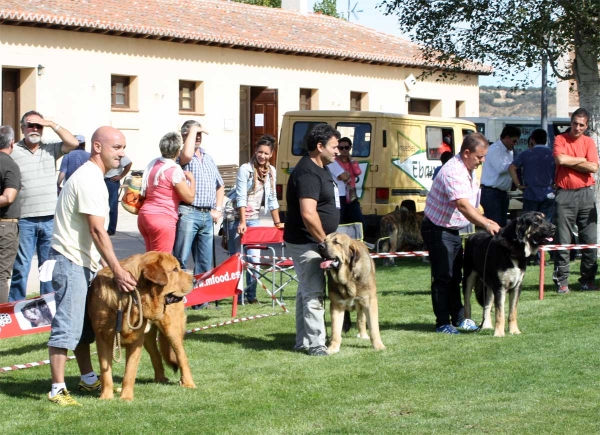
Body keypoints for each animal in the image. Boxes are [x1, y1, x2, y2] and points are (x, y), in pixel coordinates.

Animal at [89, 252, 197, 402]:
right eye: (175, 270)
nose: (195, 280)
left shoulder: (136, 341)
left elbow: (130, 371)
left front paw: (126, 397)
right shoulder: (103, 339)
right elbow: (106, 373)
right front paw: (106, 398)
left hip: (171, 330)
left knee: (182, 356)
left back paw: (188, 383)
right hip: (148, 339)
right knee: (156, 355)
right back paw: (160, 379)